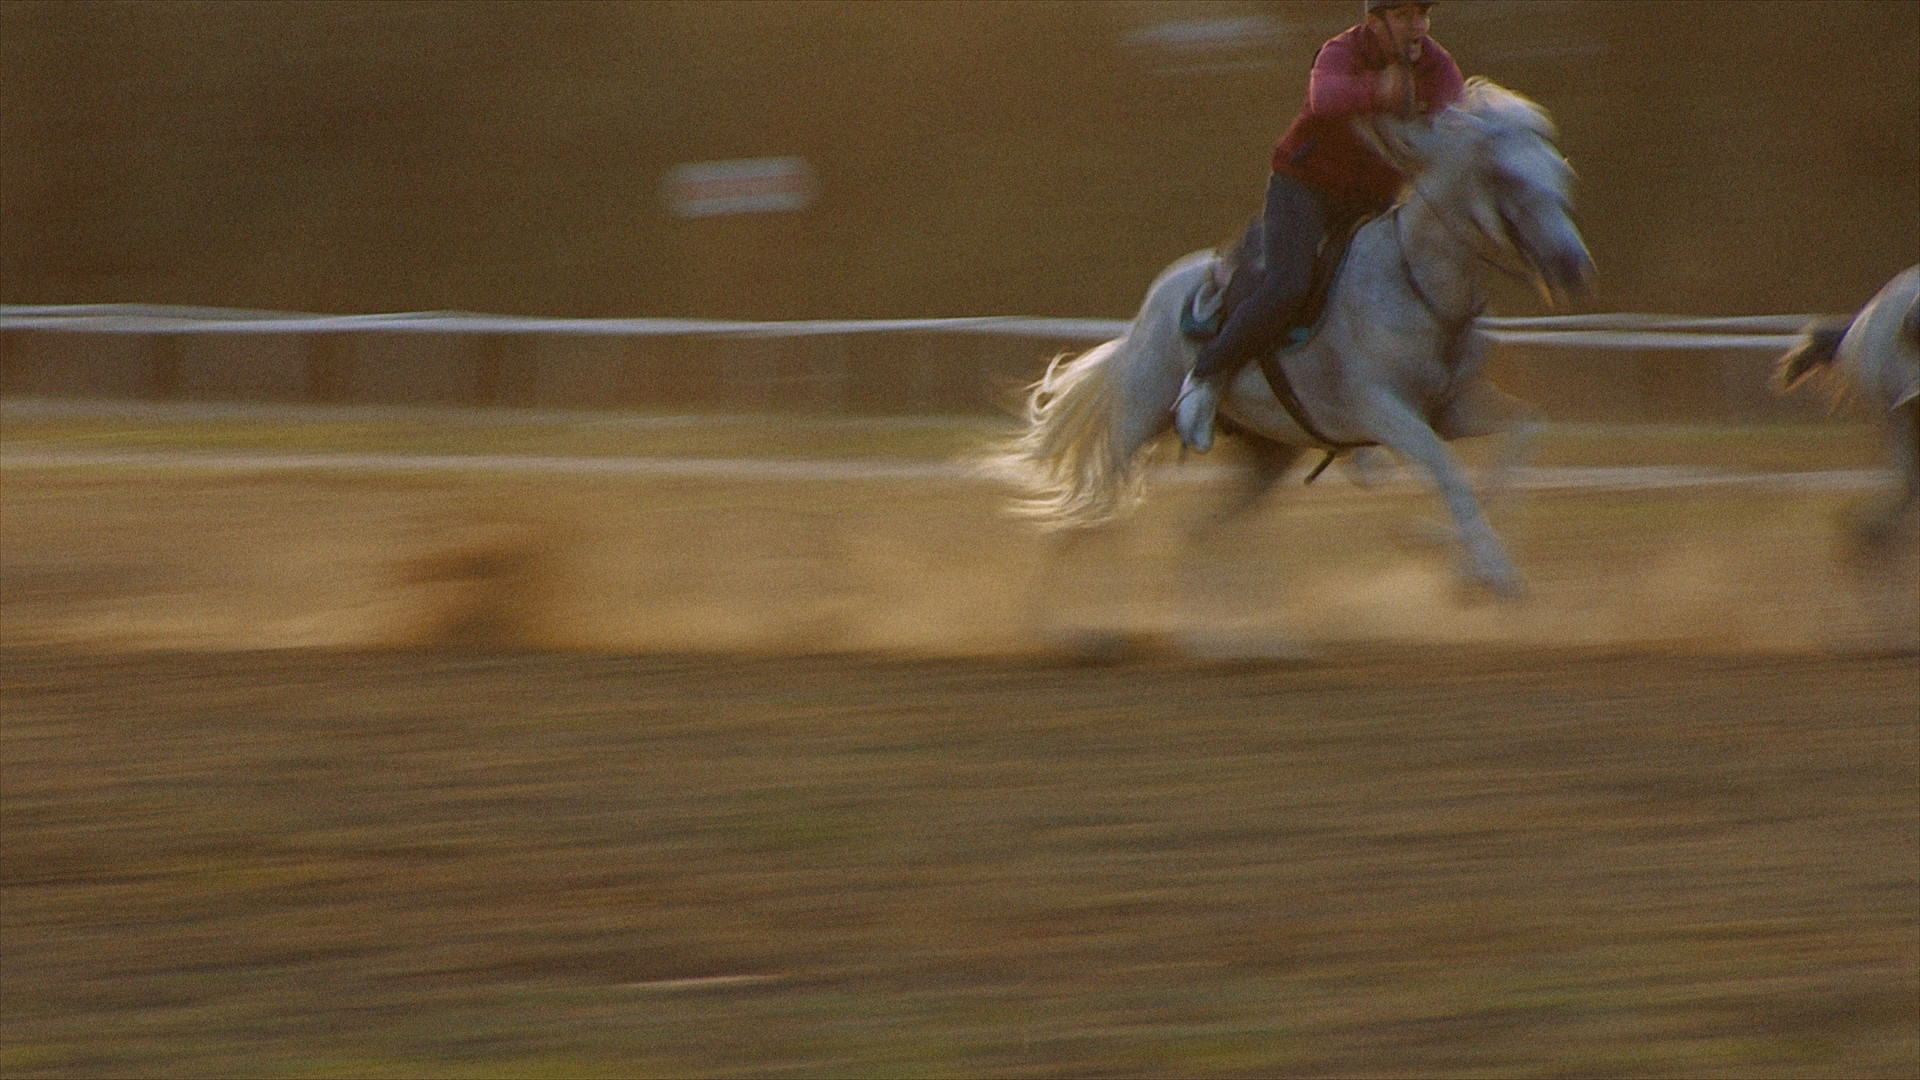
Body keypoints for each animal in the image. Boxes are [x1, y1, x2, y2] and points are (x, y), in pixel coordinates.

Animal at [990, 79, 1589, 599]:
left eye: (1560, 176)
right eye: (1507, 178)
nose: (1574, 267)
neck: (1413, 282)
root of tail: (1143, 318)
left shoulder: (1452, 407)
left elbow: (1522, 433)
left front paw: (1441, 551)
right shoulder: (1385, 412)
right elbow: (1448, 473)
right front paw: (1491, 574)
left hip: (1266, 456)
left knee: (1193, 533)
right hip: (1136, 423)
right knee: (1082, 523)